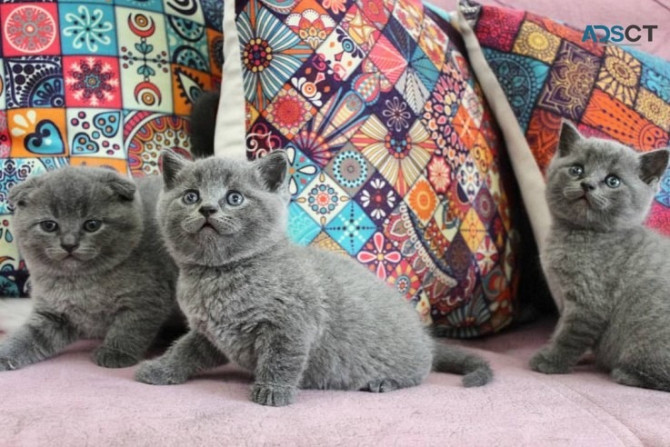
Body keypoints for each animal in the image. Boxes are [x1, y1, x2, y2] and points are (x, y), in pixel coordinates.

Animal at [0, 168, 180, 372]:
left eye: (92, 225)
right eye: (49, 225)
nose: (69, 244)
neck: (80, 281)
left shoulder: (147, 296)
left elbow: (130, 327)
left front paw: (115, 353)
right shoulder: (54, 314)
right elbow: (28, 336)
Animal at [136, 150, 494, 406]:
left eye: (234, 197)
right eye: (191, 196)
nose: (207, 208)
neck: (221, 274)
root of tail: (426, 338)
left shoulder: (291, 324)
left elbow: (282, 358)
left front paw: (273, 392)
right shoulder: (210, 333)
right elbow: (184, 350)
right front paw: (159, 369)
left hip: (406, 361)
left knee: (419, 372)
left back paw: (383, 381)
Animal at [532, 121, 670, 390]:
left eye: (613, 181)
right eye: (576, 169)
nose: (587, 185)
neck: (583, 234)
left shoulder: (589, 300)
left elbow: (569, 336)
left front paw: (549, 361)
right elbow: (560, 327)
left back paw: (626, 374)